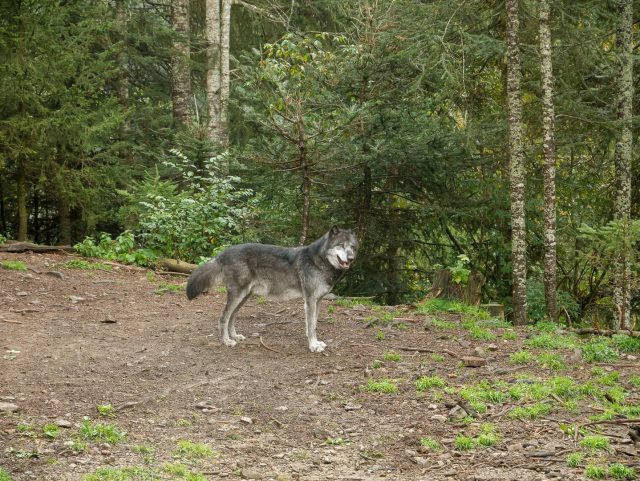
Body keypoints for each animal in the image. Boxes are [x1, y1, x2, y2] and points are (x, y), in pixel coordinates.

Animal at [185, 227, 358, 350]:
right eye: (340, 245)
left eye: (352, 247)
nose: (351, 258)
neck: (319, 260)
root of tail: (223, 254)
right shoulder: (309, 301)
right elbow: (311, 326)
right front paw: (313, 346)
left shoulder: (318, 301)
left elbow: (313, 324)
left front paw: (315, 342)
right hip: (237, 296)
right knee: (223, 318)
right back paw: (227, 341)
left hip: (243, 297)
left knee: (231, 317)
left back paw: (235, 336)